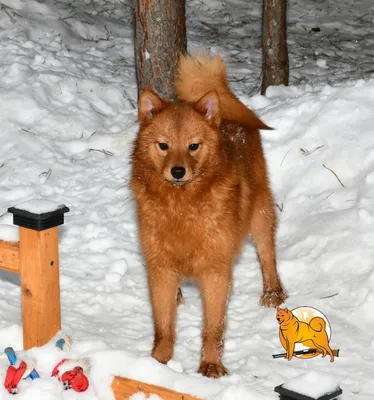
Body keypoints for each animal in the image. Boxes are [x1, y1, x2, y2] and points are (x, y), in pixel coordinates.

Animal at [131, 51, 286, 376]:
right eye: (163, 145)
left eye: (193, 146)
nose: (178, 171)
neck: (181, 207)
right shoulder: (160, 268)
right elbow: (163, 326)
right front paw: (157, 363)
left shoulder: (216, 272)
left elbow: (213, 328)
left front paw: (211, 365)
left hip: (261, 215)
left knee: (268, 256)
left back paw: (272, 292)